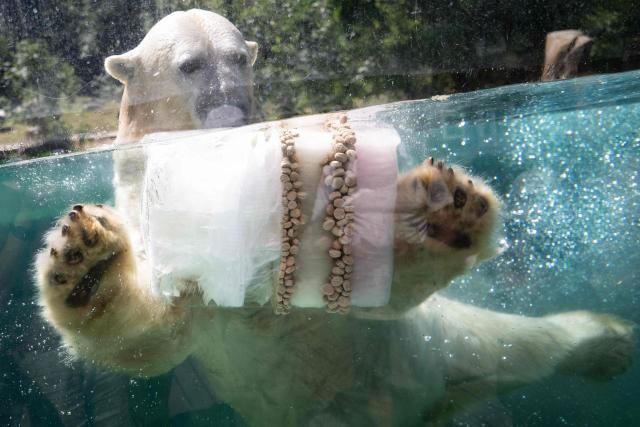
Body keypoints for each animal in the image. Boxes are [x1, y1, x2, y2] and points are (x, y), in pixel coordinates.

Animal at [33, 9, 634, 426]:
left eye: (240, 58)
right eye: (189, 65)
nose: (234, 113)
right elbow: (154, 332)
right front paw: (85, 256)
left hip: (440, 340)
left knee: (525, 342)